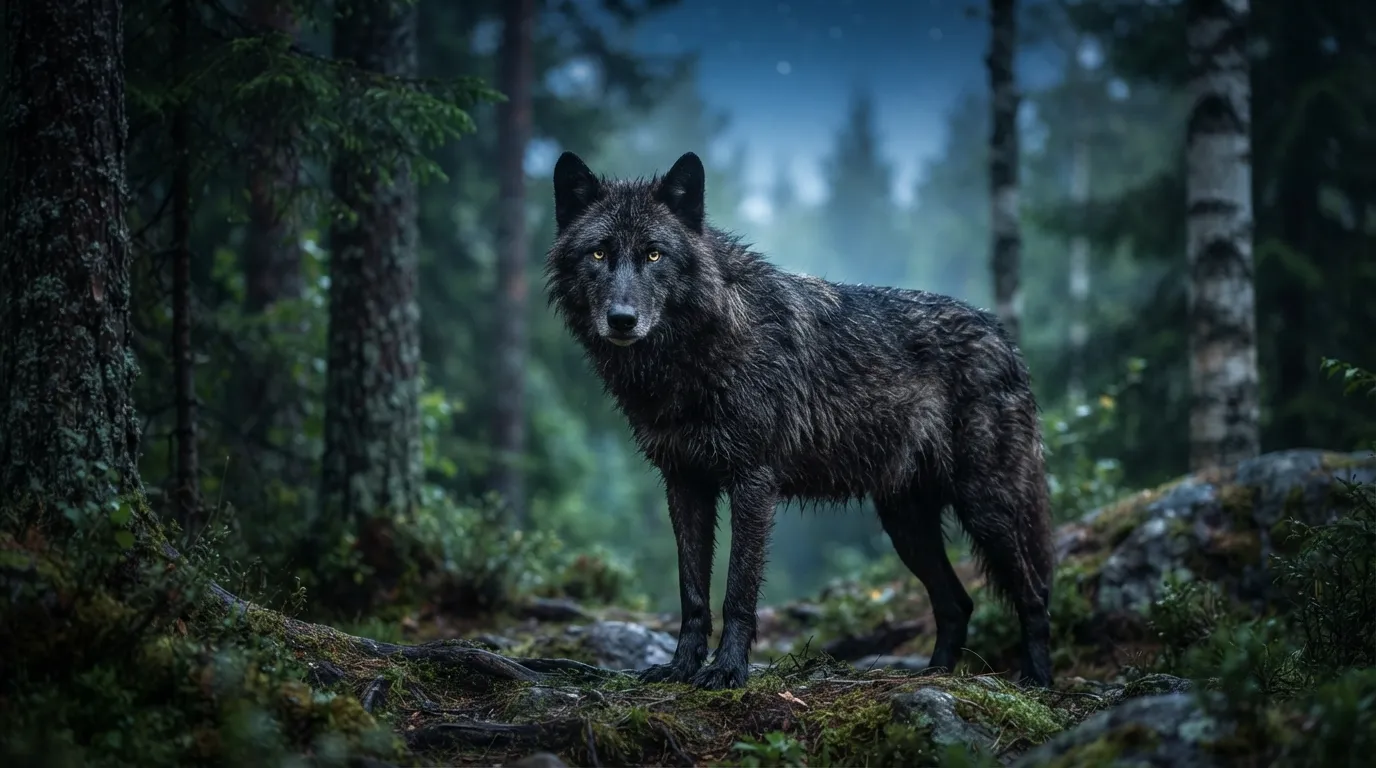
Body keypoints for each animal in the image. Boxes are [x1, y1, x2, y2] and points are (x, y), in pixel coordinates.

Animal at [544, 150, 1055, 690]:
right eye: (599, 254)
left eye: (654, 255)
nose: (621, 319)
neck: (697, 351)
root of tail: (1001, 335)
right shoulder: (684, 483)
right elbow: (693, 593)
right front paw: (680, 669)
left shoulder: (753, 482)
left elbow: (739, 591)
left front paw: (727, 671)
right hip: (906, 524)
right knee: (958, 603)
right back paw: (931, 678)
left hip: (986, 509)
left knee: (1034, 595)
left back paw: (1036, 682)